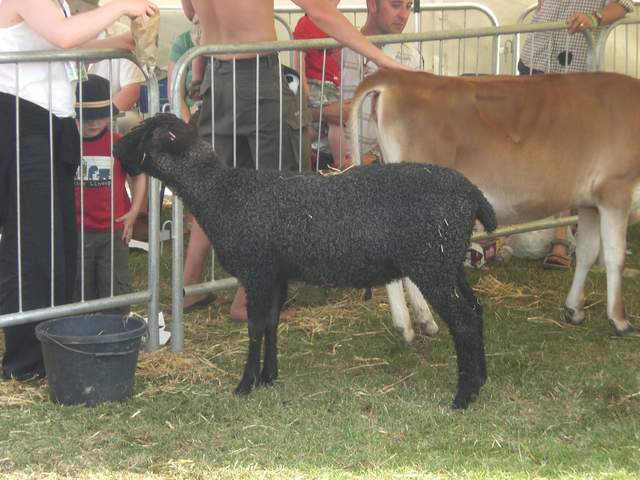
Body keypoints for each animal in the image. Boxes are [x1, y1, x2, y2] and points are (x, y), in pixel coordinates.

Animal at [114, 113, 497, 409]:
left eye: (144, 133)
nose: (115, 148)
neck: (219, 191)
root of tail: (473, 195)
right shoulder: (276, 274)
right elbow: (271, 323)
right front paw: (269, 376)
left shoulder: (256, 271)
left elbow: (255, 327)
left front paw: (245, 384)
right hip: (449, 262)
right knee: (476, 310)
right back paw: (480, 379)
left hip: (432, 263)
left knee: (464, 321)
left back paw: (464, 396)